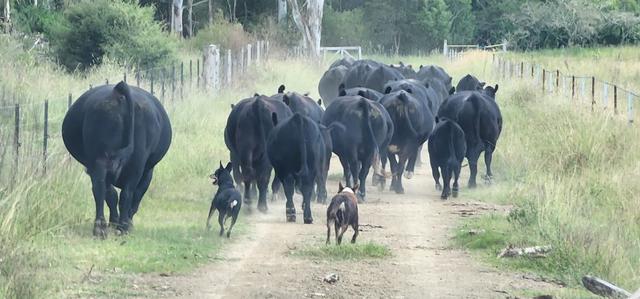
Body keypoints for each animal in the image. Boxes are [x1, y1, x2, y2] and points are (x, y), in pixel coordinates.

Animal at [61, 81, 171, 238]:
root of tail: (118, 91)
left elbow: (110, 195)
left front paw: (114, 222)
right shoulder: (148, 172)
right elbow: (135, 196)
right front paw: (125, 222)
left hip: (98, 160)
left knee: (100, 189)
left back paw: (100, 228)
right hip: (137, 163)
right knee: (127, 193)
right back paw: (124, 227)